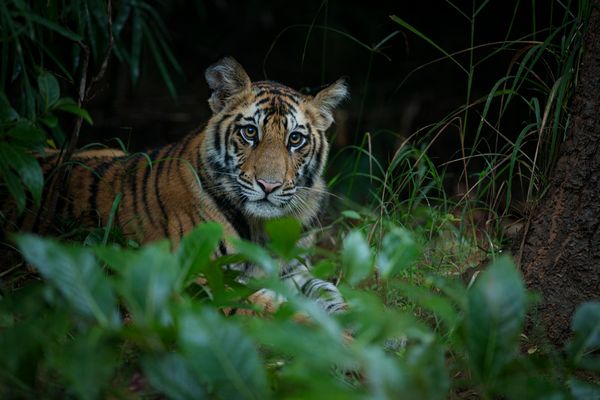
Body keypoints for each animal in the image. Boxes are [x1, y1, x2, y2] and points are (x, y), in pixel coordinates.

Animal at [2, 57, 346, 312]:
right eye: (250, 132)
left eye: (295, 139)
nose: (268, 185)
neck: (261, 226)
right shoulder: (205, 281)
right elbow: (290, 314)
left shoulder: (295, 271)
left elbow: (330, 293)